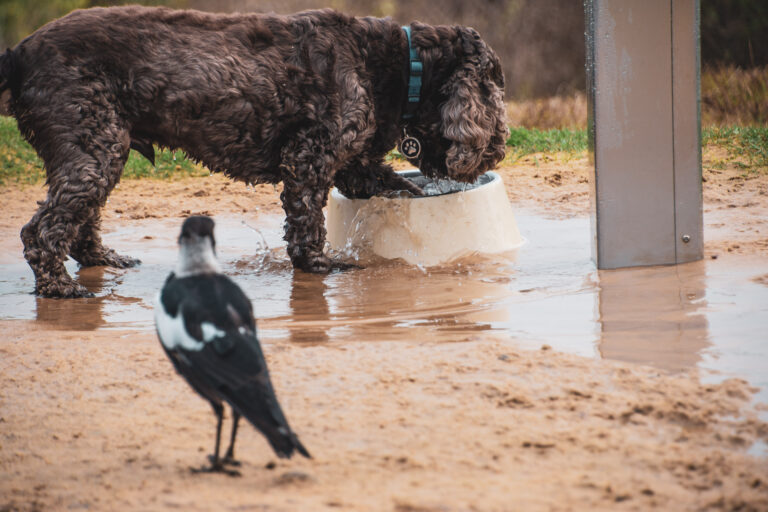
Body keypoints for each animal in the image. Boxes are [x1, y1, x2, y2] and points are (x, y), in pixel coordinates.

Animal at [1, 6, 510, 298]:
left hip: (101, 149)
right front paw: (321, 266)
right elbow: (308, 227)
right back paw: (59, 286)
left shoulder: (353, 167)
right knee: (40, 230)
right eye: (493, 89)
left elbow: (401, 188)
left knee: (77, 223)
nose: (499, 147)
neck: (401, 66)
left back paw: (101, 259)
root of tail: (18, 54)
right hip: (93, 148)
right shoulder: (310, 159)